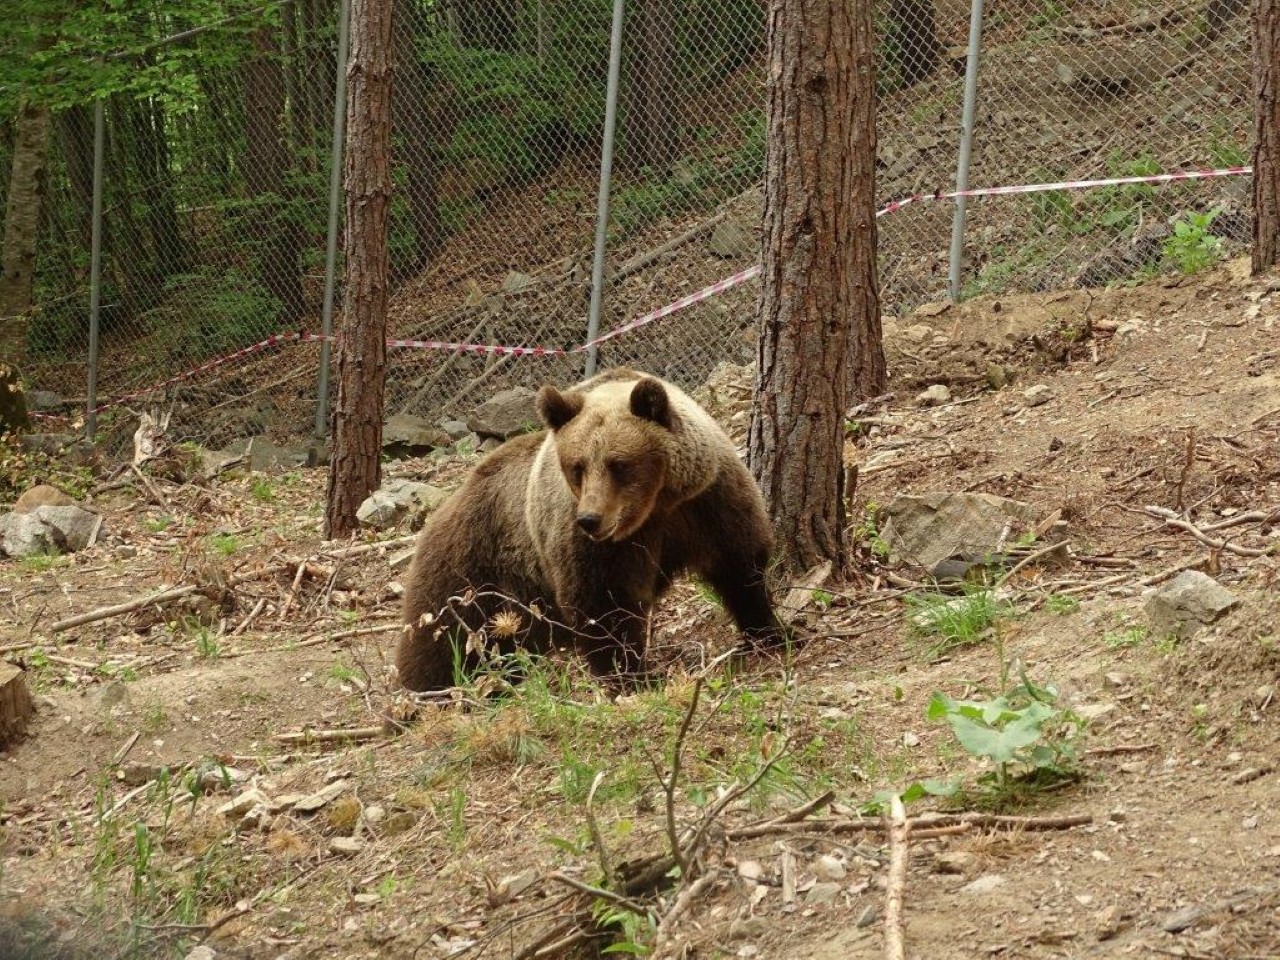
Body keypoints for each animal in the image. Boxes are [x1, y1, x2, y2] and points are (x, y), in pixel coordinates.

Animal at [394, 368, 783, 691]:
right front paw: (631, 677)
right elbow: (603, 603)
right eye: (577, 466)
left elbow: (739, 564)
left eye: (618, 464)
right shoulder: (587, 539)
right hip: (470, 572)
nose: (591, 519)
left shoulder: (707, 501)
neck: (656, 508)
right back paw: (427, 694)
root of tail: (441, 511)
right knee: (440, 643)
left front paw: (768, 632)